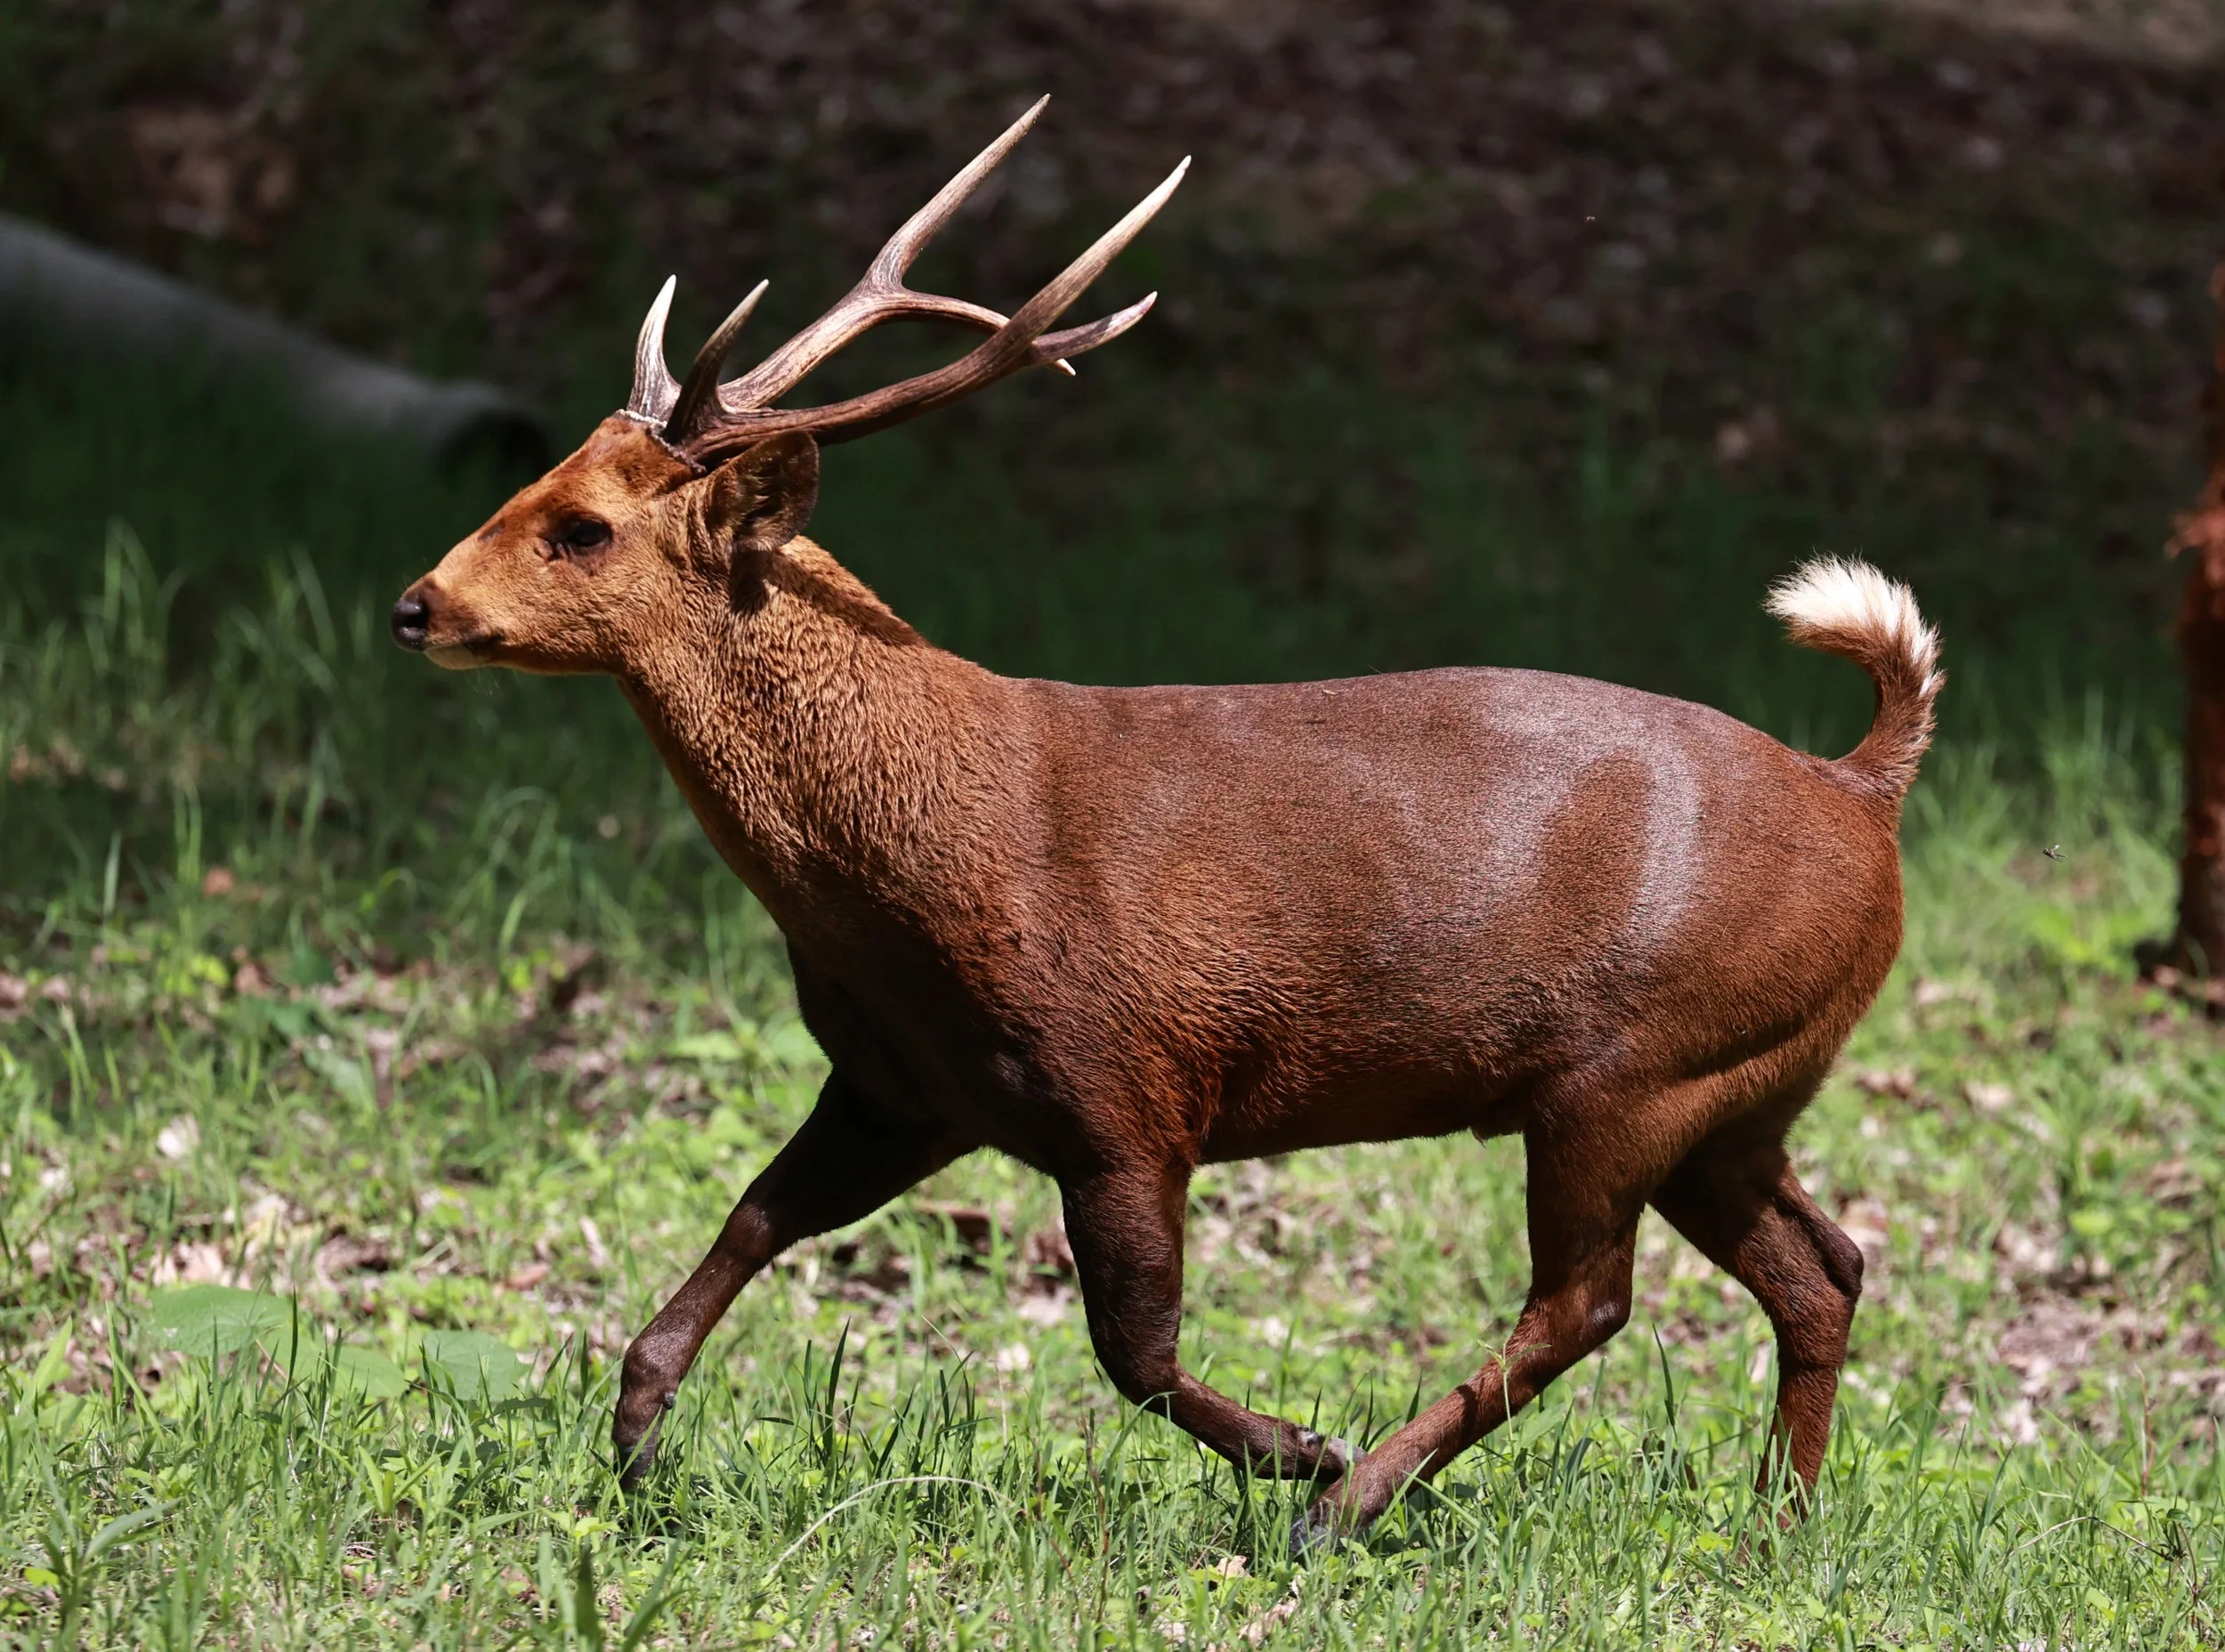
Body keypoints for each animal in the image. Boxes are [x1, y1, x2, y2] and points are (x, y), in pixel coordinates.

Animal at [391, 98, 1940, 1554]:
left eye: (582, 528)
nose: (415, 603)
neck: (903, 877)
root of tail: (1863, 791)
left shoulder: (1128, 1085)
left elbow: (1131, 1349)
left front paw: (1297, 1453)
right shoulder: (902, 1085)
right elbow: (747, 1225)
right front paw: (635, 1445)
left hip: (1631, 1070)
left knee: (1589, 1299)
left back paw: (1352, 1502)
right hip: (1736, 1086)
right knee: (1820, 1267)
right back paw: (1777, 1520)